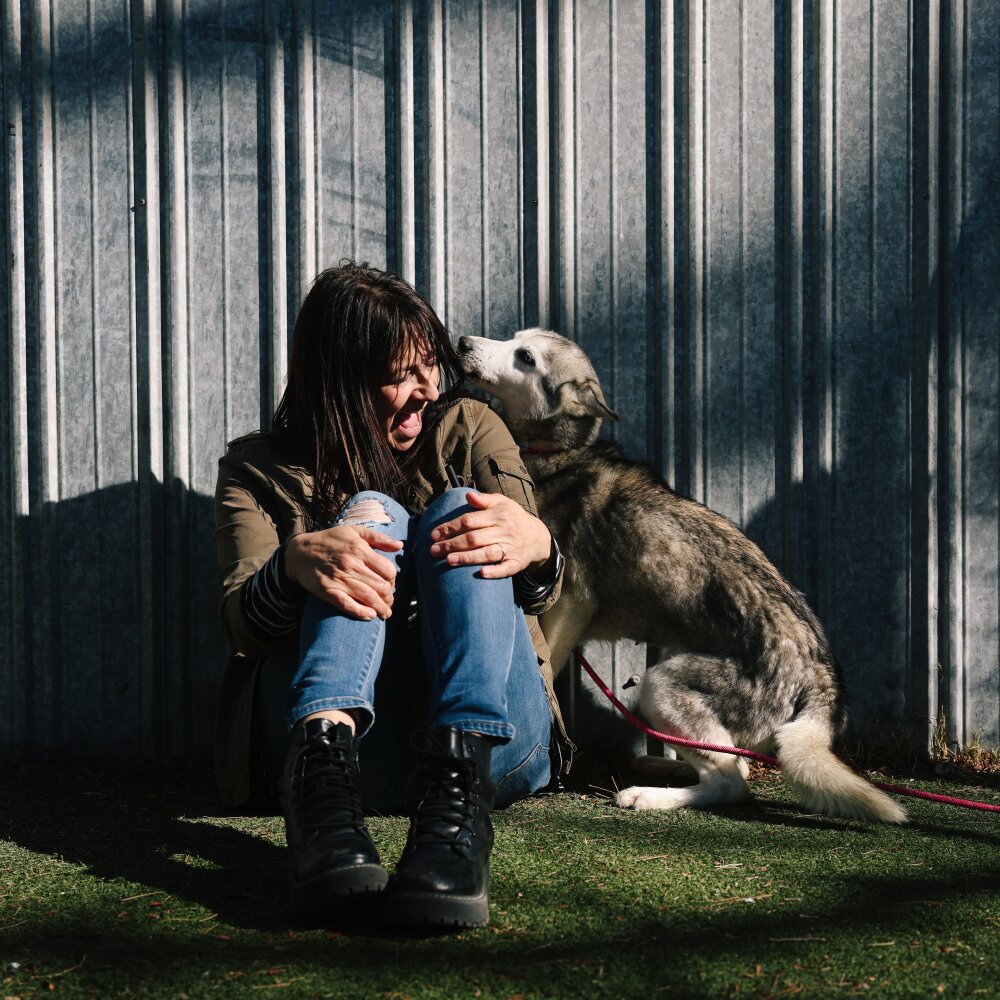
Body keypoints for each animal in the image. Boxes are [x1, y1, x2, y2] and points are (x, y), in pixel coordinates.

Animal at [458, 328, 908, 820]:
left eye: (525, 357)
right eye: (513, 338)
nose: (461, 342)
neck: (560, 453)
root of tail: (823, 673)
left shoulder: (571, 599)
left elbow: (548, 668)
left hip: (661, 686)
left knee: (732, 783)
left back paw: (648, 795)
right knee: (732, 764)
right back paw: (661, 766)